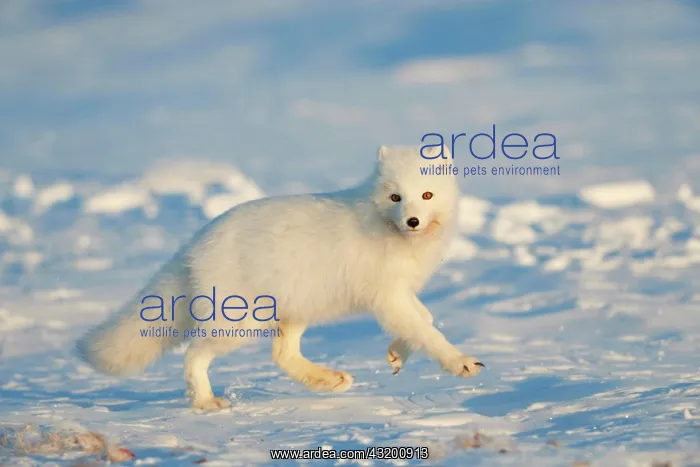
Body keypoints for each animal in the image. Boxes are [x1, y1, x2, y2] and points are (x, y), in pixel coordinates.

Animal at [77, 145, 484, 410]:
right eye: (396, 197)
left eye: (427, 195)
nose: (412, 221)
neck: (388, 228)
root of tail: (196, 243)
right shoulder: (386, 296)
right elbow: (427, 330)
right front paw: (459, 362)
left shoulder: (399, 292)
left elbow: (425, 318)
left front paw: (397, 354)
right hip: (237, 323)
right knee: (194, 355)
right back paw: (206, 402)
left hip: (295, 308)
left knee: (281, 354)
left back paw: (327, 380)